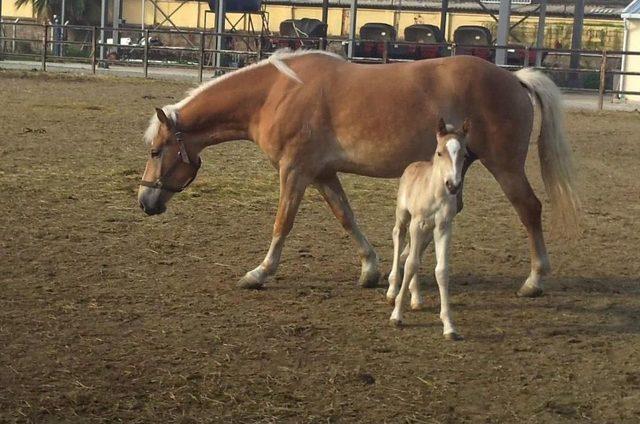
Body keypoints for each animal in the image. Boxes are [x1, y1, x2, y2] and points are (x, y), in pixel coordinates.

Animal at [138, 51, 576, 296]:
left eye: (156, 151)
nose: (145, 201)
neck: (276, 93)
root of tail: (513, 76)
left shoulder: (294, 172)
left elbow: (283, 223)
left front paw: (259, 273)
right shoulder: (321, 174)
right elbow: (346, 216)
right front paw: (370, 269)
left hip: (505, 166)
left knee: (530, 210)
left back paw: (535, 280)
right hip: (458, 167)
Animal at [384, 117, 470, 340]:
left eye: (464, 154)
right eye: (440, 152)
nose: (453, 185)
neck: (436, 193)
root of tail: (413, 164)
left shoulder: (443, 227)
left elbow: (441, 270)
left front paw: (449, 326)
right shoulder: (418, 223)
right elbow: (411, 264)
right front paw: (396, 315)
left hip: (427, 231)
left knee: (414, 254)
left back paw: (416, 298)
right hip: (404, 216)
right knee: (399, 236)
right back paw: (392, 290)